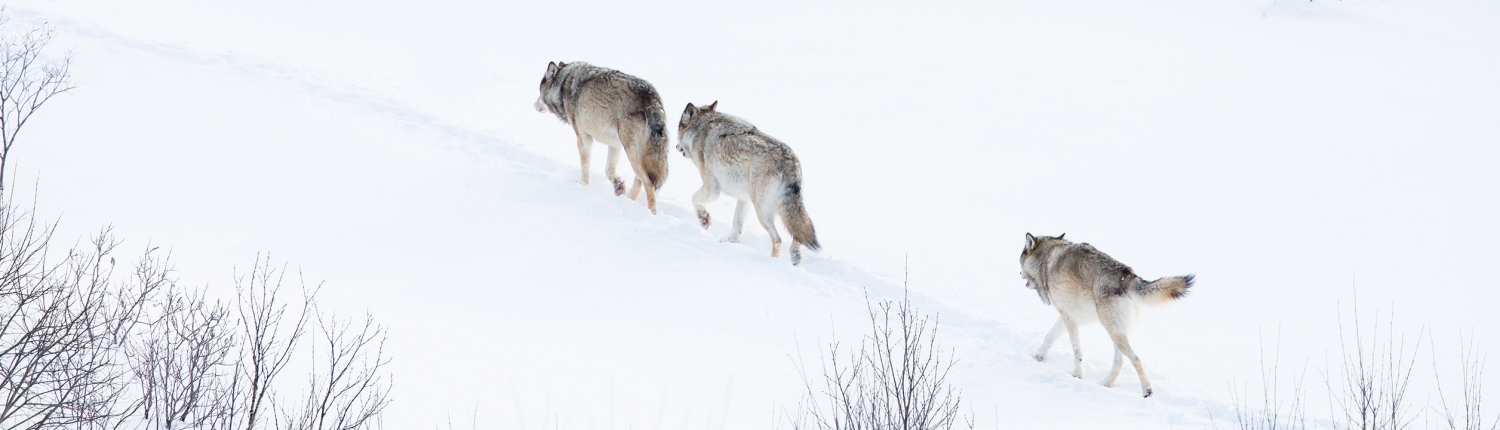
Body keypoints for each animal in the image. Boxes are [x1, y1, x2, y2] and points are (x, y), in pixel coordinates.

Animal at [531, 60, 666, 214]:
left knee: (648, 184)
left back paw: (652, 213)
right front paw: (619, 186)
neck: (563, 84)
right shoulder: (615, 144)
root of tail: (651, 97)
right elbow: (609, 171)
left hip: (632, 153)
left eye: (539, 92)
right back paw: (628, 200)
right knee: (640, 181)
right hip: (636, 153)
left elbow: (585, 168)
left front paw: (581, 184)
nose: (534, 104)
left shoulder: (583, 137)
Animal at [678, 101, 822, 266]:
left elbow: (694, 198)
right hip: (781, 209)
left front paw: (703, 219)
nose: (676, 147)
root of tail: (789, 161)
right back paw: (795, 258)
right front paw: (728, 242)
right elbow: (737, 226)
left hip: (763, 212)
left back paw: (773, 261)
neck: (701, 128)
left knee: (778, 239)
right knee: (797, 236)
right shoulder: (743, 199)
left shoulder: (712, 189)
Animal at [1020, 233, 1194, 398]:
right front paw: (1038, 356)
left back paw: (1147, 391)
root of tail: (1128, 276)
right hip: (1116, 332)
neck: (1045, 260)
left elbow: (1077, 351)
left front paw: (1076, 374)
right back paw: (1105, 383)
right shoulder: (1068, 315)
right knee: (1120, 361)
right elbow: (1049, 337)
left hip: (1111, 329)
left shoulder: (1068, 318)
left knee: (1135, 359)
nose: (1019, 272)